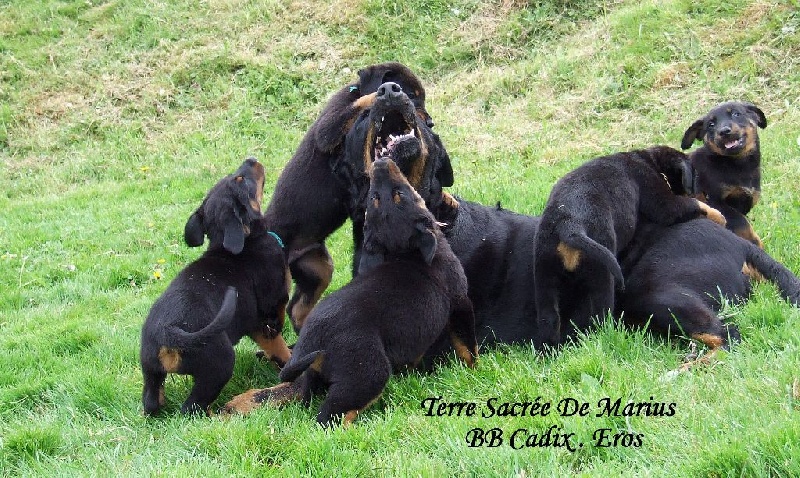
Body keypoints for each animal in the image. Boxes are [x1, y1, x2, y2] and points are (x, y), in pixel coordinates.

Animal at [140, 158, 291, 415]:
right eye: (241, 180)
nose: (251, 159)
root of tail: (167, 331)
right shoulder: (270, 307)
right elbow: (279, 339)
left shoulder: (253, 322)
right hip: (219, 363)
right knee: (192, 407)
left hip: (150, 370)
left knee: (152, 402)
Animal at [224, 158, 476, 424]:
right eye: (398, 193)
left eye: (378, 198)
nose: (381, 162)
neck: (406, 253)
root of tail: (312, 341)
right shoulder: (460, 302)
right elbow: (468, 346)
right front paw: (474, 370)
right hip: (368, 372)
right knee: (329, 417)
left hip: (316, 375)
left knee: (303, 395)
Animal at [263, 62, 452, 332]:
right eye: (413, 95)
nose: (431, 121)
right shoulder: (330, 126)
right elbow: (360, 101)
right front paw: (376, 95)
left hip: (316, 266)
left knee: (297, 308)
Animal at [534, 146, 726, 346]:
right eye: (696, 177)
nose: (708, 194)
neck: (650, 161)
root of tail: (570, 225)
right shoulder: (661, 201)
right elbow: (693, 205)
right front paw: (719, 216)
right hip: (602, 276)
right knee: (601, 314)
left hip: (545, 276)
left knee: (549, 319)